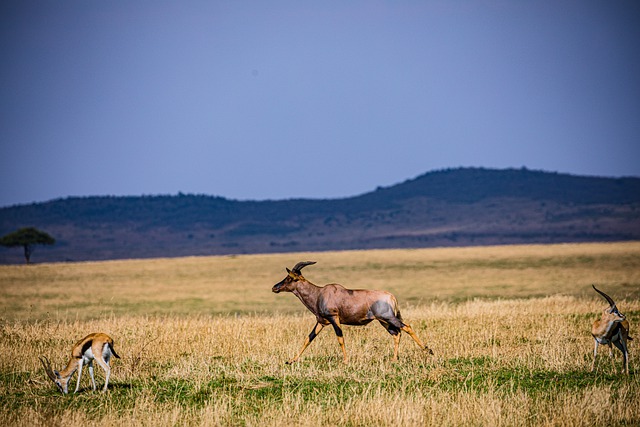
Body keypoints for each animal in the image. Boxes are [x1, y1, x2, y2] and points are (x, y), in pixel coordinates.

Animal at [272, 260, 432, 364]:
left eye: (289, 278)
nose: (275, 287)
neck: (319, 293)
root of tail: (391, 296)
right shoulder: (321, 322)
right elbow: (308, 339)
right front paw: (291, 360)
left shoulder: (334, 318)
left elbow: (340, 338)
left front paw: (345, 361)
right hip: (384, 321)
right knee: (397, 334)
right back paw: (394, 359)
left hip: (388, 318)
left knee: (407, 327)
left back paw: (428, 350)